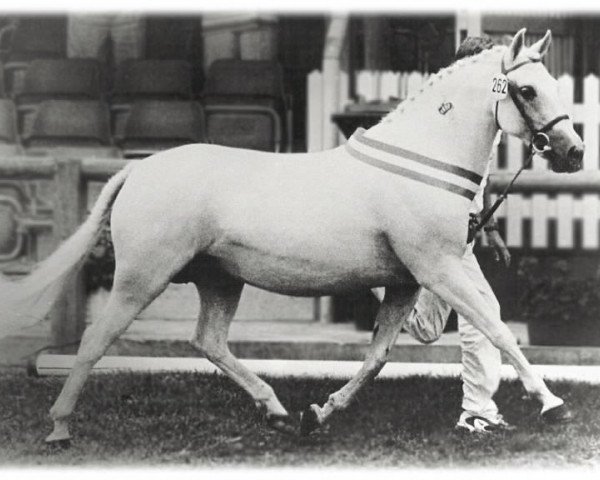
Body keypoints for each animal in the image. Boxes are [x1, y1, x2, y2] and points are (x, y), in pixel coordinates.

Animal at [0, 29, 580, 442]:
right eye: (526, 89)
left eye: (555, 86)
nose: (573, 152)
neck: (420, 164)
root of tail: (138, 169)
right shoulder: (438, 269)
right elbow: (498, 329)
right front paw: (553, 406)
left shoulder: (407, 283)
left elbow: (377, 357)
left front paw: (319, 413)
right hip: (141, 279)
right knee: (96, 340)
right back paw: (59, 428)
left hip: (220, 280)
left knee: (208, 341)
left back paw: (278, 411)